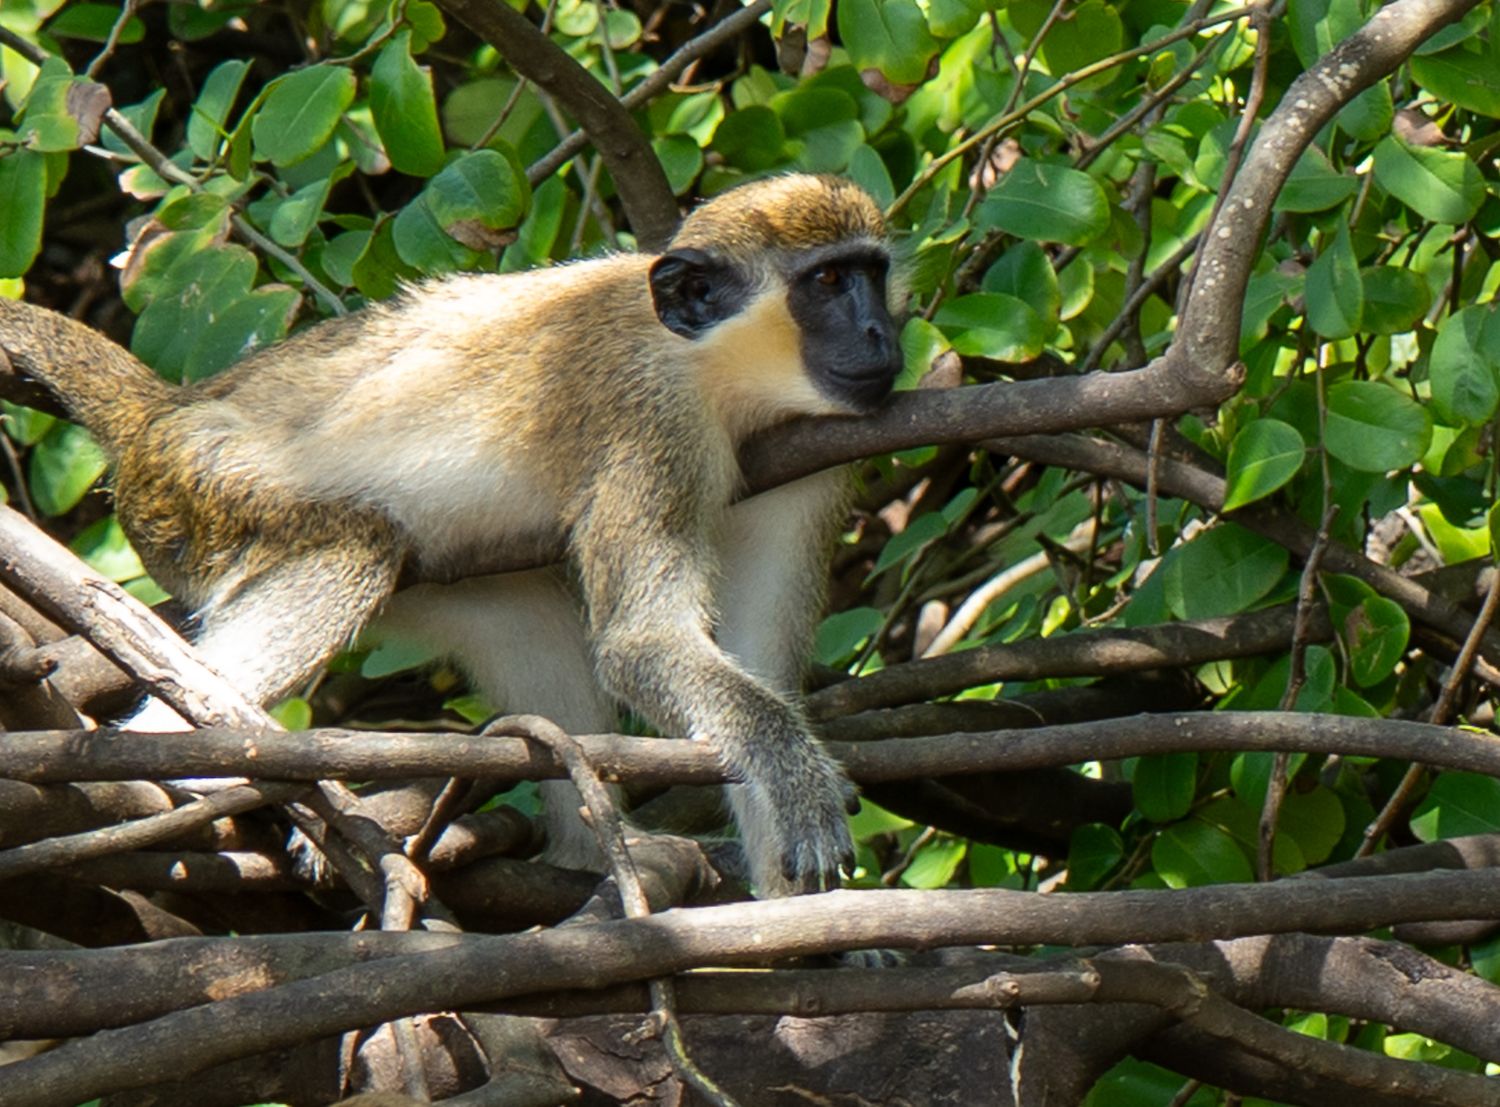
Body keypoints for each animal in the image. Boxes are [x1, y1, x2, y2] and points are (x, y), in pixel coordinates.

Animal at [0, 173, 904, 897]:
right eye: (826, 282)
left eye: (872, 274)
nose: (883, 337)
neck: (720, 377)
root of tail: (165, 411)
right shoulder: (653, 421)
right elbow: (644, 642)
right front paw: (796, 784)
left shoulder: (810, 457)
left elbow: (753, 660)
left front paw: (801, 919)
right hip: (203, 490)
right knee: (353, 549)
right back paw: (178, 765)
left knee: (526, 620)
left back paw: (596, 854)